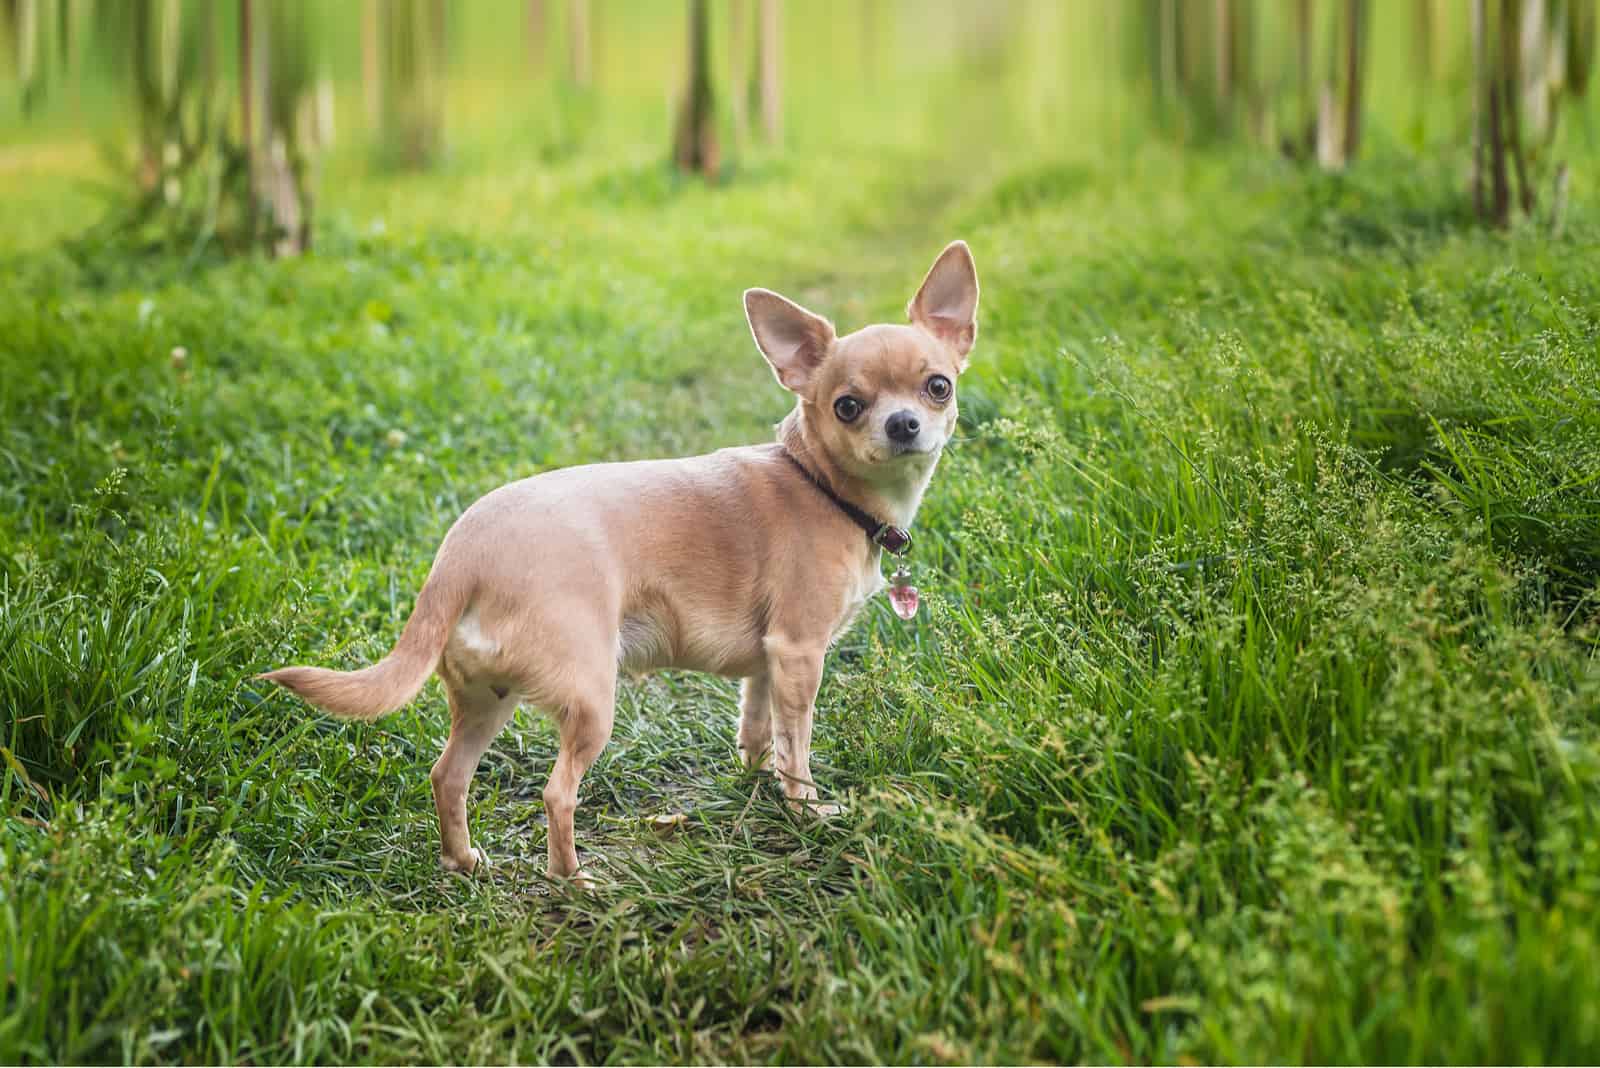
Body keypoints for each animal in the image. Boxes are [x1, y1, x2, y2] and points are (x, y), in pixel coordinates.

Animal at [262, 241, 972, 882]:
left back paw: (463, 861)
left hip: (487, 699)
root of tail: (461, 552)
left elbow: (757, 724)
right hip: (590, 699)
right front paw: (805, 811)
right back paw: (571, 881)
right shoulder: (799, 653)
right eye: (848, 406)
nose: (904, 424)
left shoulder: (770, 660)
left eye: (938, 387)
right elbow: (796, 747)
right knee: (557, 793)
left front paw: (752, 779)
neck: (820, 483)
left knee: (448, 774)